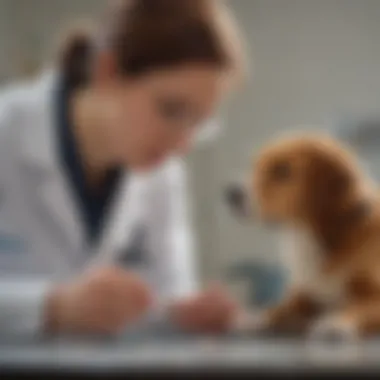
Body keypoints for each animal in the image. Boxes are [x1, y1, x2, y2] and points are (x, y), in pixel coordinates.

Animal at [226, 132, 380, 340]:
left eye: (283, 170)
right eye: (255, 166)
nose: (230, 194)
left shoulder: (372, 295)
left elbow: (357, 308)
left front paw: (336, 323)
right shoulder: (305, 292)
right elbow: (283, 306)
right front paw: (258, 317)